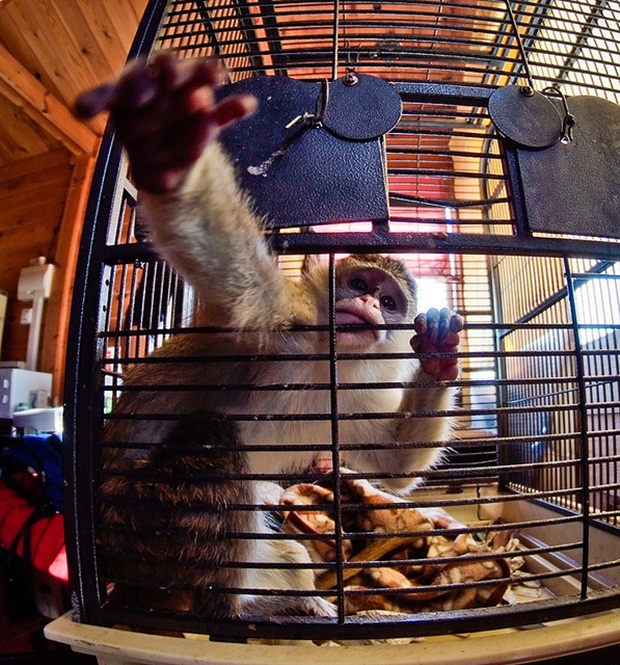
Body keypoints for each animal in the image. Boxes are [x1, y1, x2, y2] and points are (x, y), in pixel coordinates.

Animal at [75, 54, 463, 619]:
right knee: (210, 439)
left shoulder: (352, 394)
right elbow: (219, 259)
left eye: (389, 303)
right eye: (360, 284)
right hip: (140, 524)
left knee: (288, 553)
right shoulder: (282, 322)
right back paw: (237, 609)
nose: (369, 305)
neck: (325, 364)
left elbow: (388, 461)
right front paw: (168, 142)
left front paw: (435, 355)